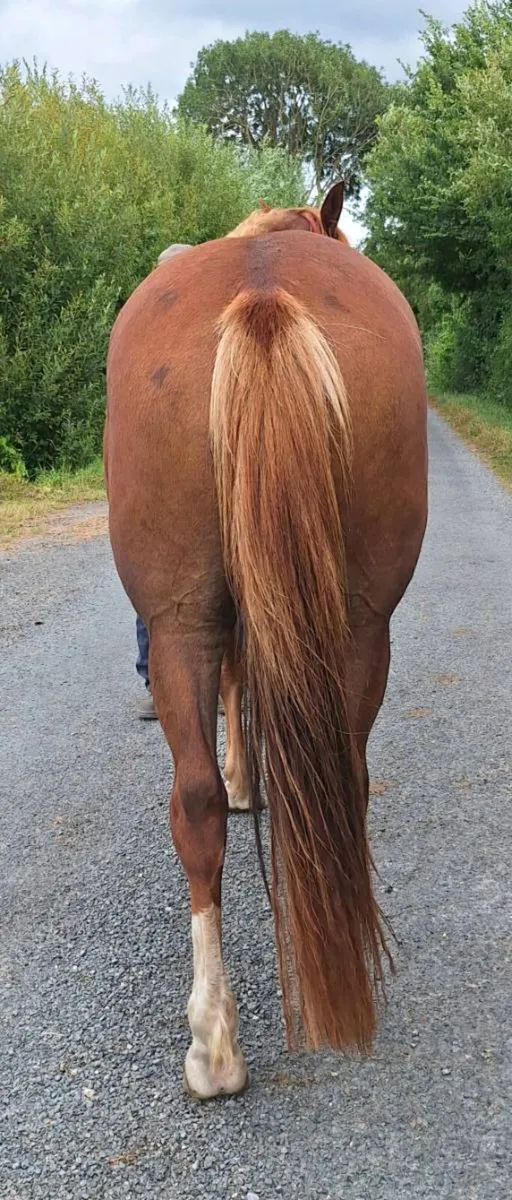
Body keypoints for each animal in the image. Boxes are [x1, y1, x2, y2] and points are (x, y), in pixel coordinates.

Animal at [104, 181, 428, 1100]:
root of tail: (261, 294)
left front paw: (247, 777)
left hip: (184, 621)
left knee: (204, 802)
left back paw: (214, 1045)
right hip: (353, 620)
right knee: (315, 784)